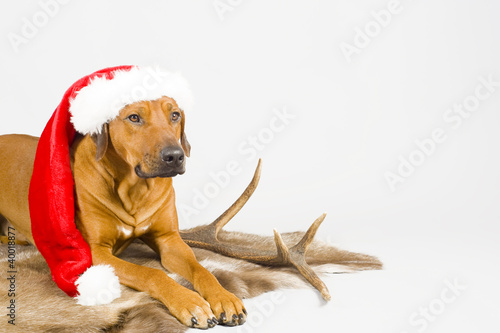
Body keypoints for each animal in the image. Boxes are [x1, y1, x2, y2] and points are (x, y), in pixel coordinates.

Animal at [0, 96, 246, 330]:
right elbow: (151, 273)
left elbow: (201, 269)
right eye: (134, 117)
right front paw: (189, 301)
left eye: (175, 115)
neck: (134, 190)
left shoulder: (169, 240)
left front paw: (224, 297)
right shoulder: (95, 253)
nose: (175, 156)